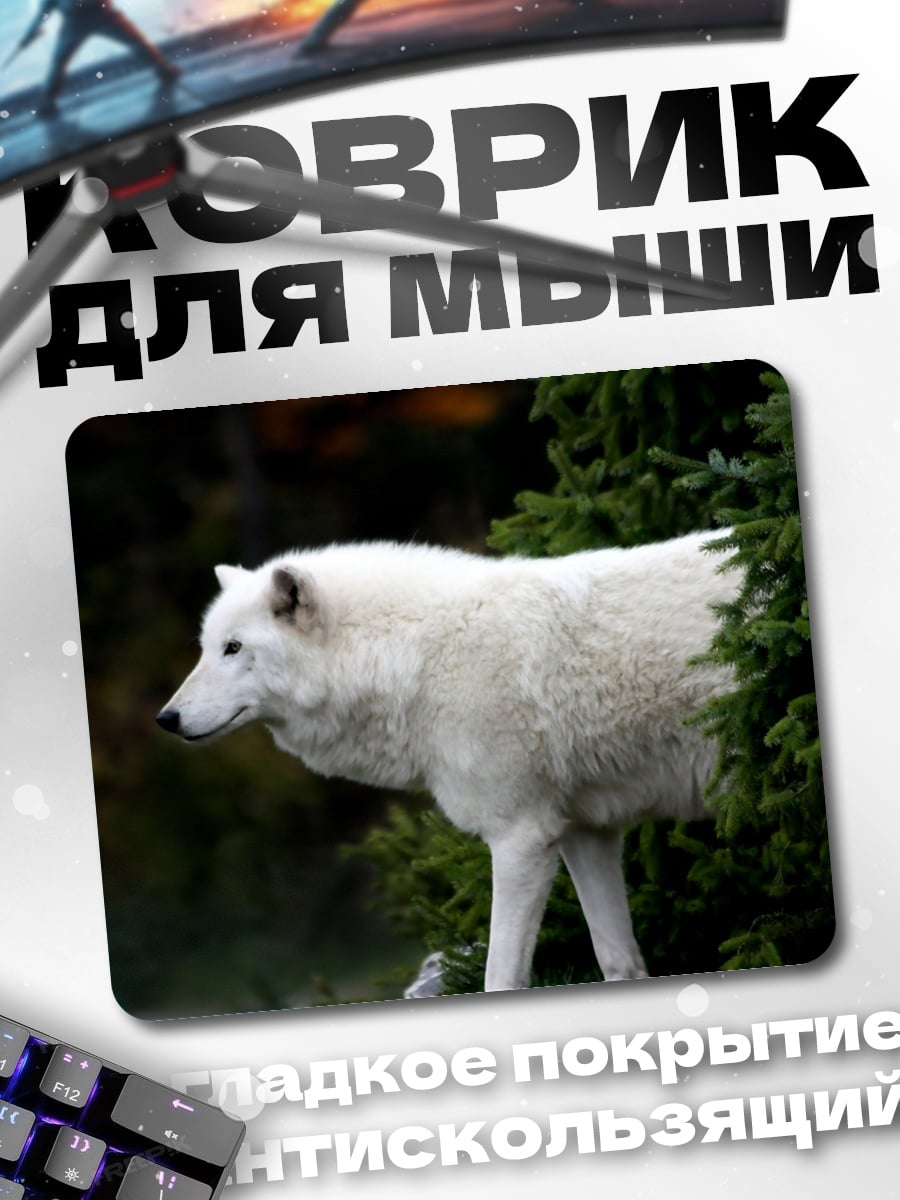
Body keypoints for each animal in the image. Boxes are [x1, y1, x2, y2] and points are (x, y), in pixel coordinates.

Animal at [156, 531, 738, 993]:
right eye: (206, 647)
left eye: (233, 648)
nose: (166, 718)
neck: (418, 657)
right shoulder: (585, 832)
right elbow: (617, 962)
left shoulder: (520, 839)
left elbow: (500, 978)